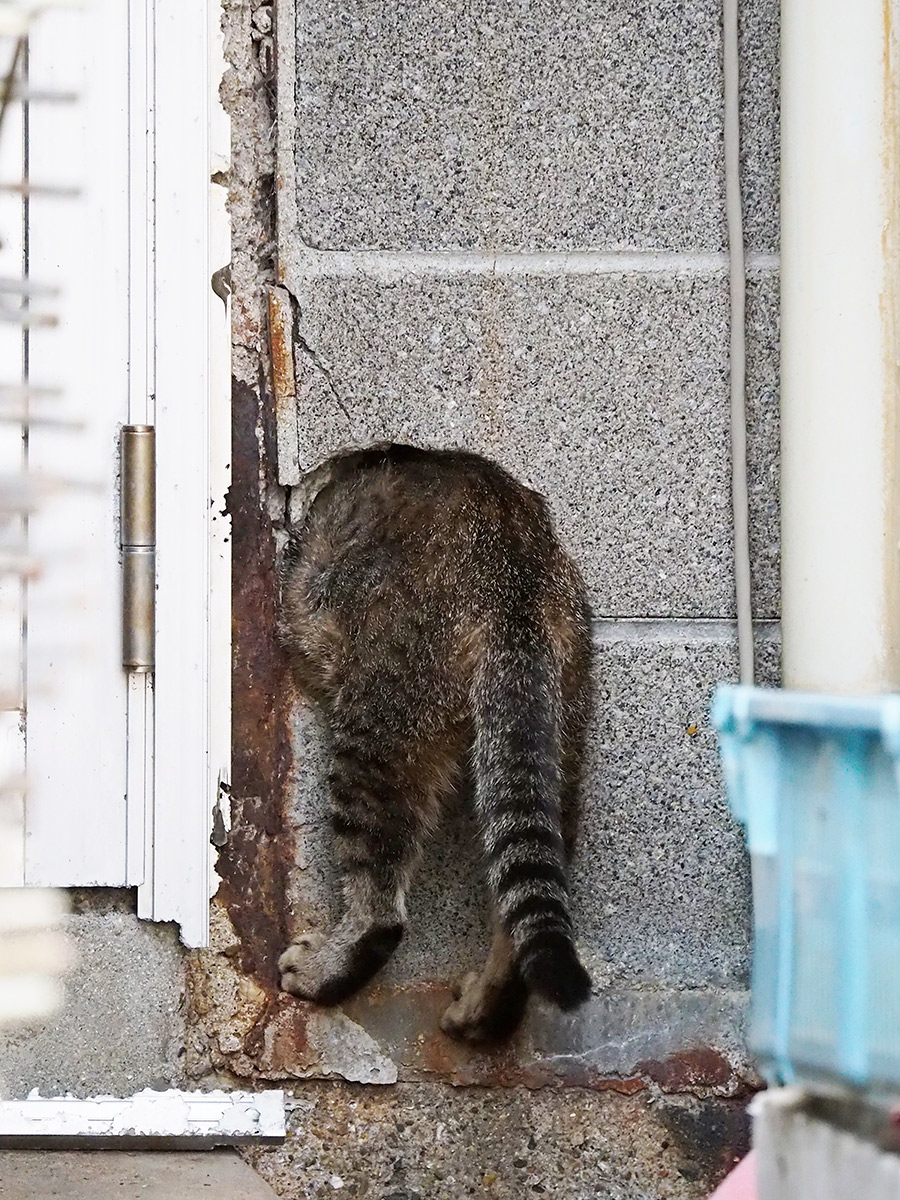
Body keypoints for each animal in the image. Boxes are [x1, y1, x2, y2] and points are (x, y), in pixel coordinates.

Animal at [278, 444, 595, 1041]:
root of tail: (510, 566)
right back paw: (493, 999)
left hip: (386, 706)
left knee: (380, 897)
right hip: (561, 713)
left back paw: (337, 961)